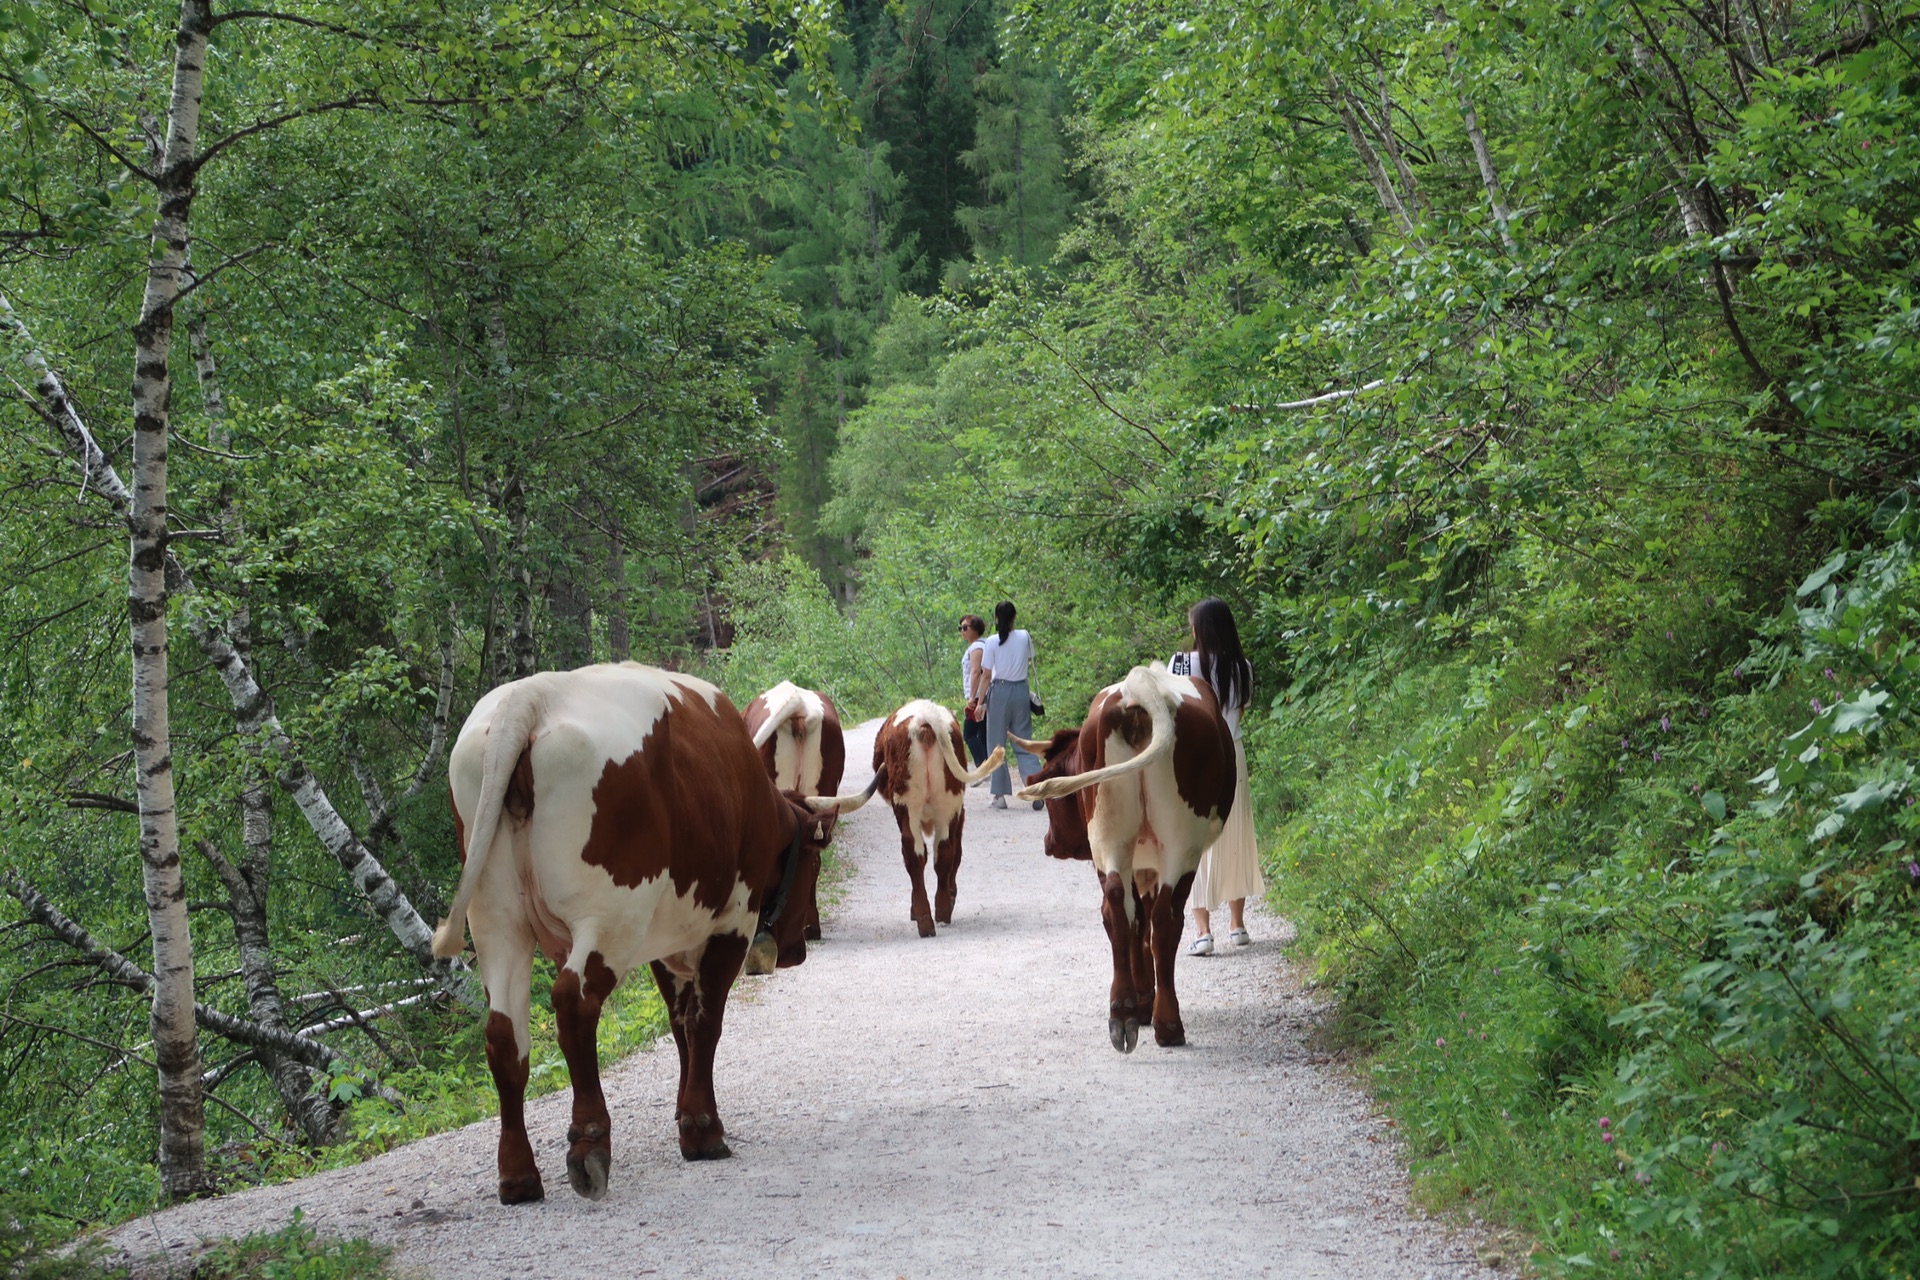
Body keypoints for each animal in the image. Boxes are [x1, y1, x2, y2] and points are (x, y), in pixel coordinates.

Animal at [432, 667, 875, 1205]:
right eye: (814, 855)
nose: (795, 951)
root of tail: (531, 698)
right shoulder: (730, 924)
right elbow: (704, 1022)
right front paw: (703, 1130)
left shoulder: (667, 944)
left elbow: (680, 1023)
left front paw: (686, 1114)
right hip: (608, 919)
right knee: (573, 1003)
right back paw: (589, 1146)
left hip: (498, 926)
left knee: (504, 1034)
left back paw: (518, 1175)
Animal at [860, 702, 998, 940]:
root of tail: (925, 718)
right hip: (944, 805)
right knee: (941, 852)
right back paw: (939, 912)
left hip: (910, 806)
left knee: (919, 855)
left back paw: (927, 917)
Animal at [1021, 667, 1228, 1059]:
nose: (1049, 843)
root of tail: (1139, 687)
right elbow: (1146, 924)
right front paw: (1147, 1000)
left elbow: (1137, 923)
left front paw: (1140, 1001)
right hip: (1181, 845)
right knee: (1164, 919)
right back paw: (1167, 1023)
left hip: (1109, 839)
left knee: (1117, 910)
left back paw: (1122, 1014)